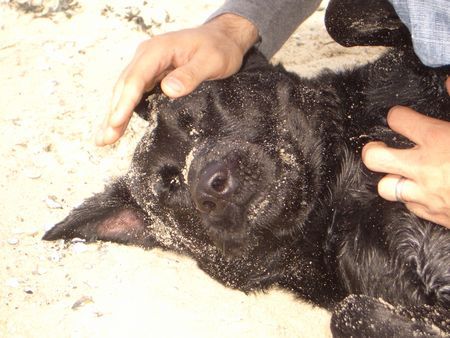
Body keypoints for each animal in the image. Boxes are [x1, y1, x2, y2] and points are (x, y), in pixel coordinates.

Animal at [44, 1, 448, 336]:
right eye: (170, 183)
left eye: (195, 116)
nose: (210, 185)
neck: (332, 194)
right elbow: (348, 311)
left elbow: (338, 18)